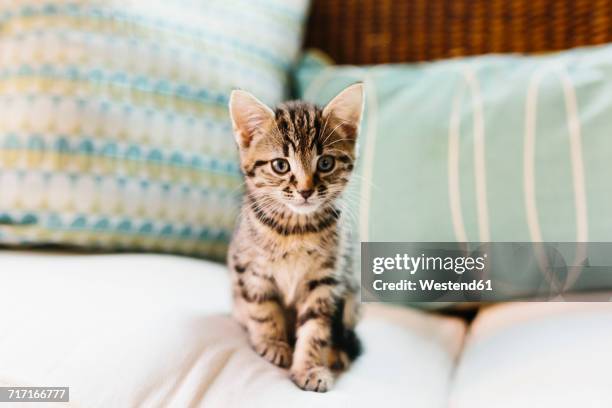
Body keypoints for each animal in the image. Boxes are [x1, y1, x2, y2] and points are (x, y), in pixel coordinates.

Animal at [228, 83, 364, 392]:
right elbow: (263, 310)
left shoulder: (327, 279)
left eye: (325, 163)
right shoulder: (251, 267)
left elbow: (315, 328)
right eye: (281, 165)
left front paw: (310, 367)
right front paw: (273, 343)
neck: (296, 229)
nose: (305, 191)